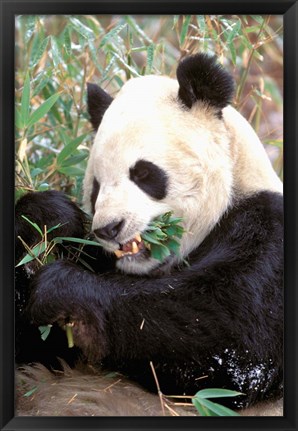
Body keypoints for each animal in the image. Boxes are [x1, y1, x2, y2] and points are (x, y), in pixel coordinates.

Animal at [15, 52, 282, 416]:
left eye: (143, 173)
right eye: (96, 187)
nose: (108, 228)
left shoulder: (270, 235)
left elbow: (232, 342)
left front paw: (62, 290)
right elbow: (34, 344)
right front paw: (46, 216)